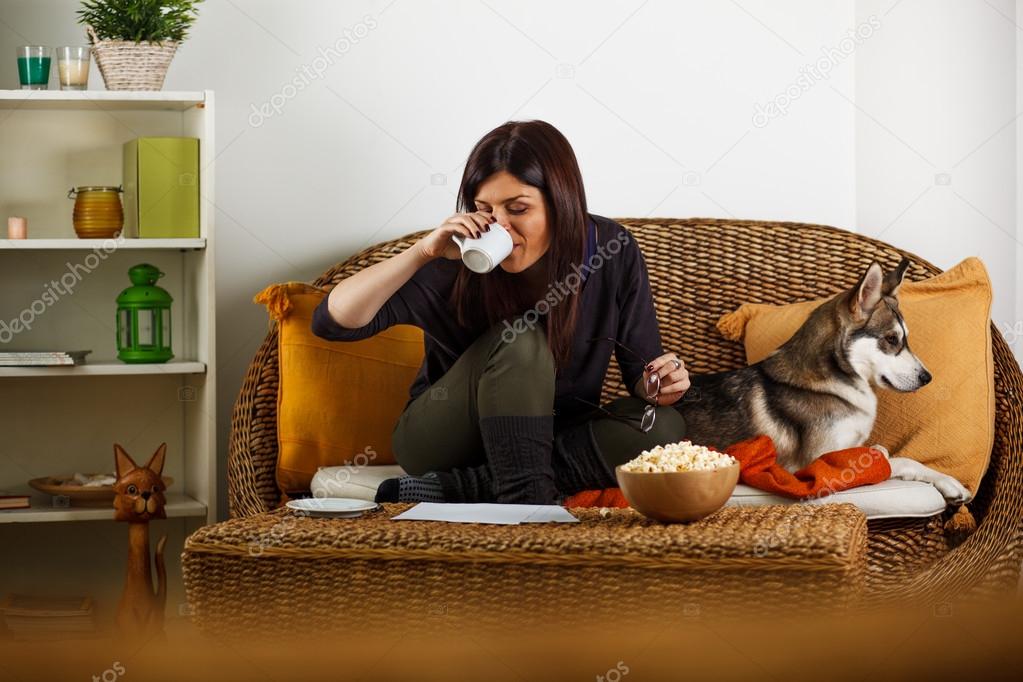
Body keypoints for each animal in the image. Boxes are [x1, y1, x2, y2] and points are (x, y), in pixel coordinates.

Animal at [675, 258, 969, 505]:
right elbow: (897, 460)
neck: (834, 382)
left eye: (904, 338)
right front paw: (948, 481)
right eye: (891, 339)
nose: (927, 378)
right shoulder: (818, 465)